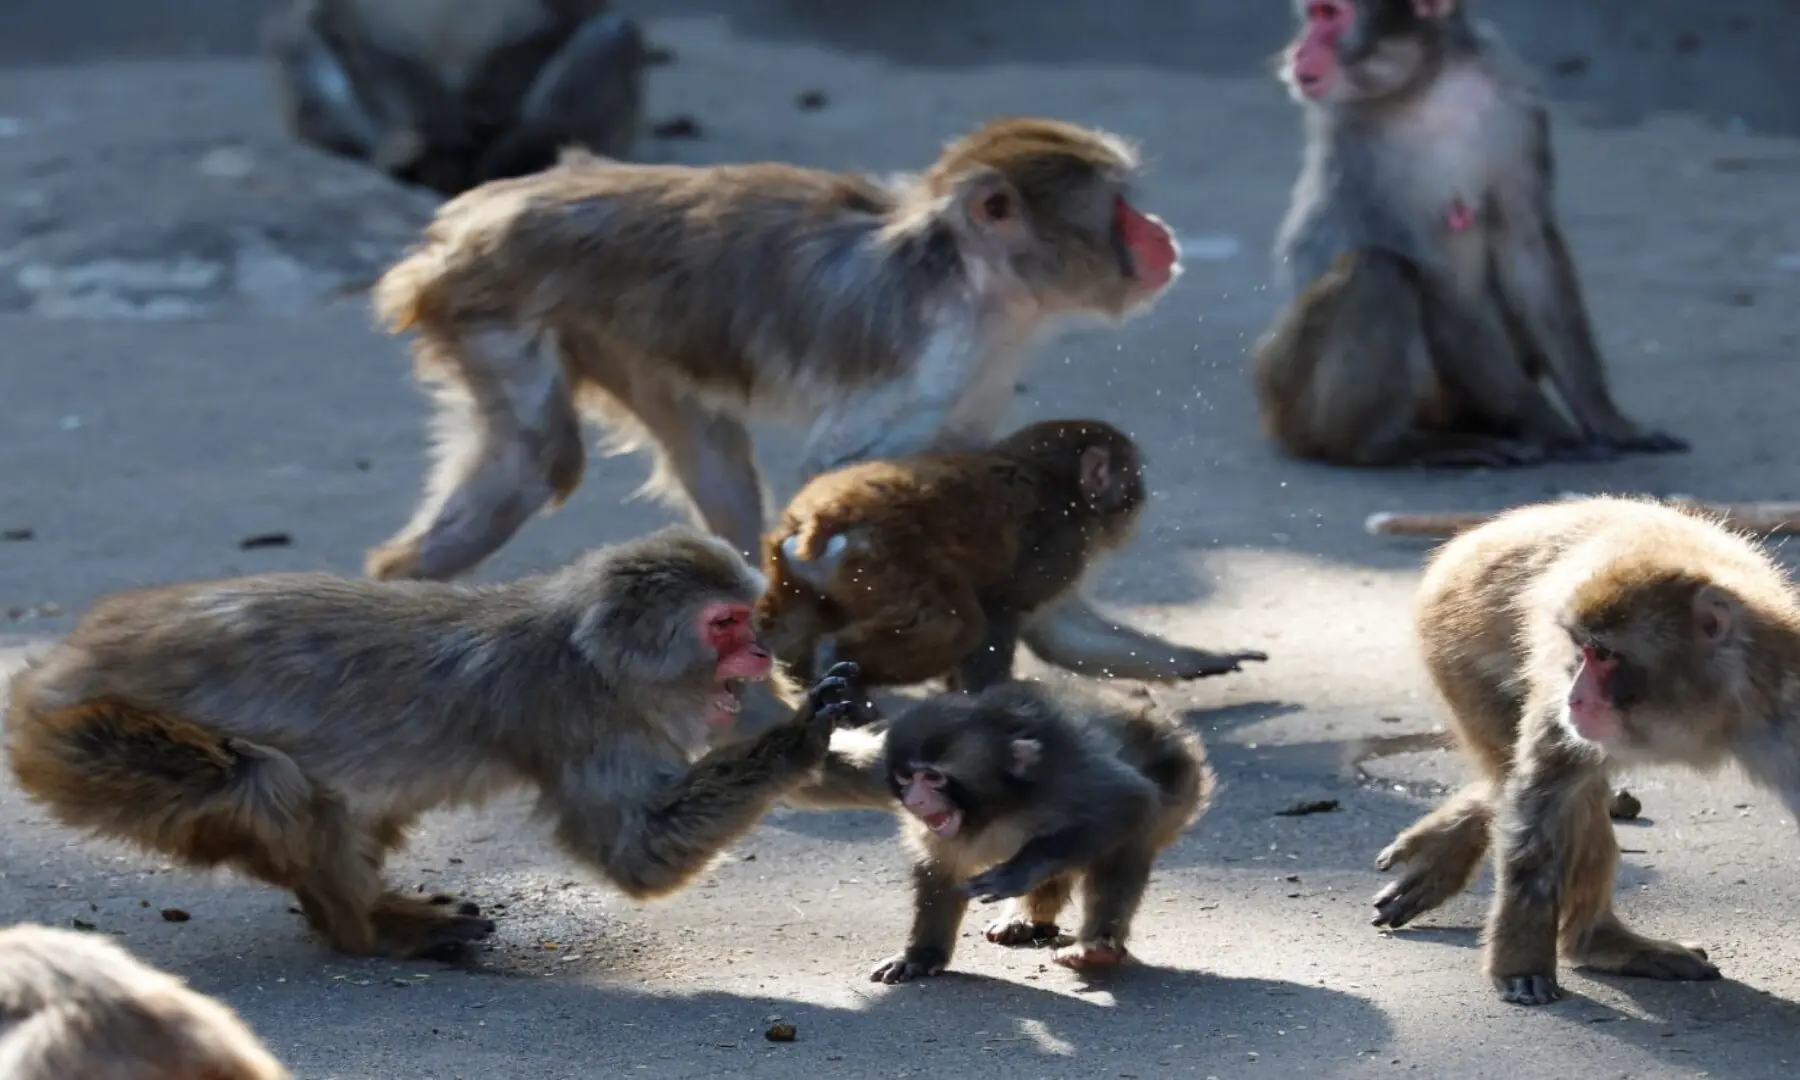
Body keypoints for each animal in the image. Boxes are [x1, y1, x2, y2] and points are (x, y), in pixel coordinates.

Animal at [3, 526, 864, 961]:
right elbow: (637, 853)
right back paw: (362, 931)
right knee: (267, 784)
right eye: (725, 624)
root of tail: (49, 670)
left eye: (749, 619)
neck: (594, 653)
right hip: (80, 748)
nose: (760, 653)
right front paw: (800, 736)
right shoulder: (581, 715)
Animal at [753, 417, 1268, 694]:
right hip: (880, 558)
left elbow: (1059, 634)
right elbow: (1001, 610)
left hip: (799, 576)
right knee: (957, 624)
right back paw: (837, 664)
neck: (1058, 484)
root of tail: (811, 519)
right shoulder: (1061, 542)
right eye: (1132, 480)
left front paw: (1201, 661)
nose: (1140, 497)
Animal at [784, 679, 1212, 982]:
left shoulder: (1063, 775)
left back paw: (1095, 947)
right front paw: (921, 956)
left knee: (1126, 840)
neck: (992, 808)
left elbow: (1131, 799)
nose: (917, 801)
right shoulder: (882, 768)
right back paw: (1027, 920)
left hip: (1181, 781)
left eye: (934, 778)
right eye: (907, 778)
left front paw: (1019, 871)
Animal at [1249, 0, 1687, 469]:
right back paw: (1388, 447)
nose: (1299, 50)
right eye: (1315, 14)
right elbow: (1439, 280)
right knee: (1378, 271)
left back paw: (1478, 426)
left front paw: (1607, 420)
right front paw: (1554, 429)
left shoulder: (1516, 102)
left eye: (1330, 15)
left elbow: (1527, 247)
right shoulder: (1356, 136)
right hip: (1289, 390)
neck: (1433, 86)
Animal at [1371, 495, 1800, 1005]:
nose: (1575, 698)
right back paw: (1596, 941)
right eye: (1581, 649)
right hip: (1454, 649)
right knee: (1569, 794)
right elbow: (1540, 811)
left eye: (1605, 654)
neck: (1707, 709)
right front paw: (1520, 963)